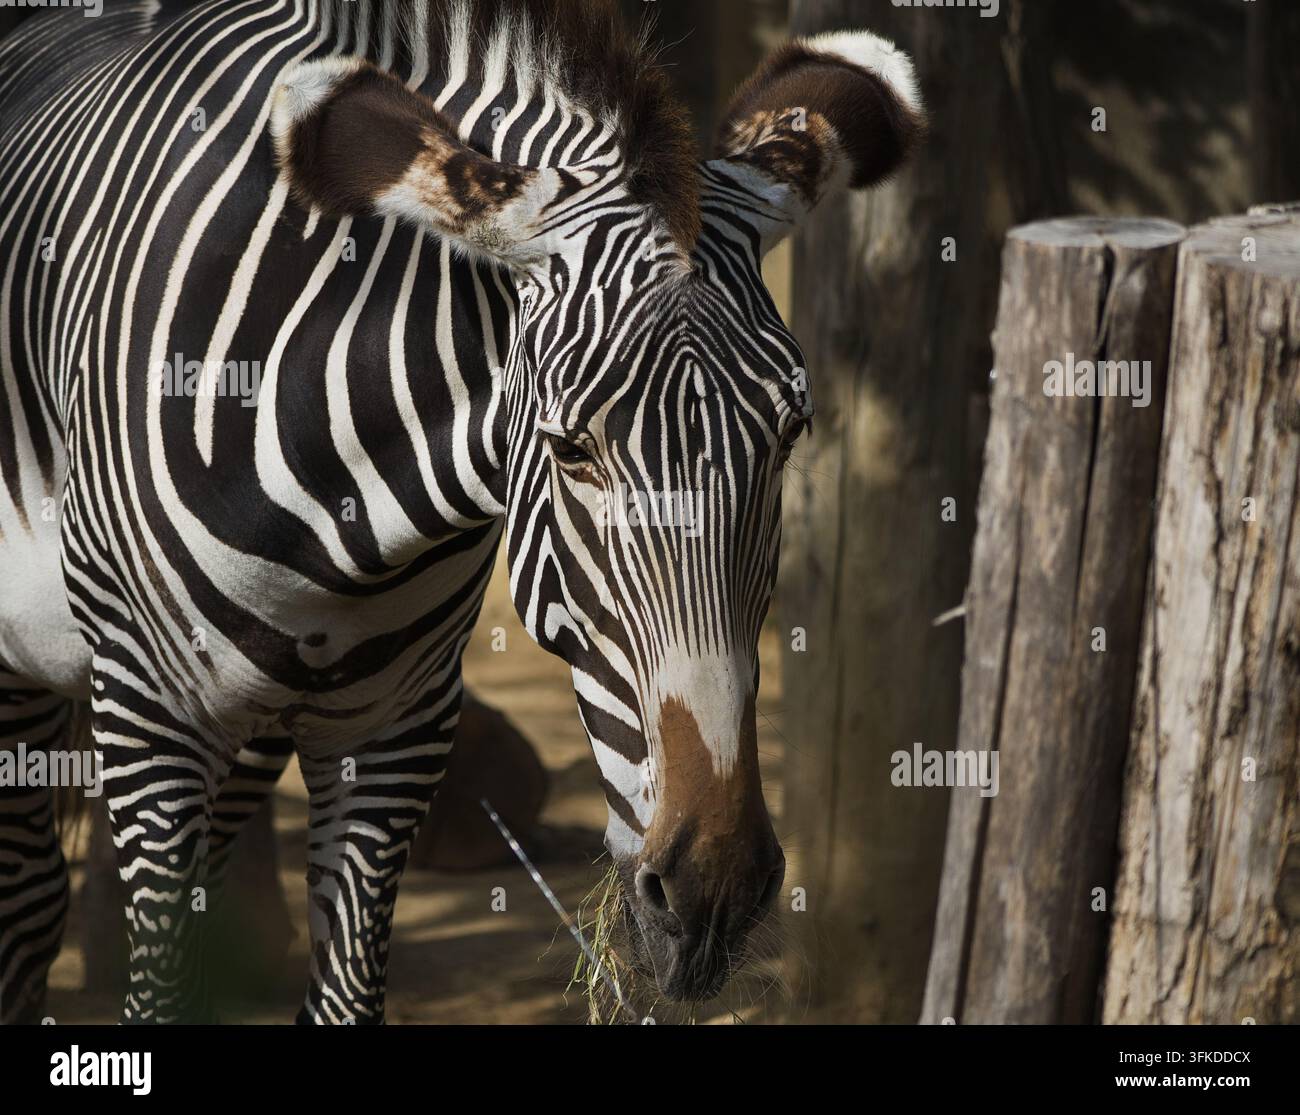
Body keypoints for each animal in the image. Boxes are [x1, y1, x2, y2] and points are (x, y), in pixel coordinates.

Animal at [0, 0, 924, 1023]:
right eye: (570, 449)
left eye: (792, 433)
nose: (711, 891)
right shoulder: (146, 715)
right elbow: (153, 982)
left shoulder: (396, 727)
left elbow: (345, 990)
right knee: (29, 902)